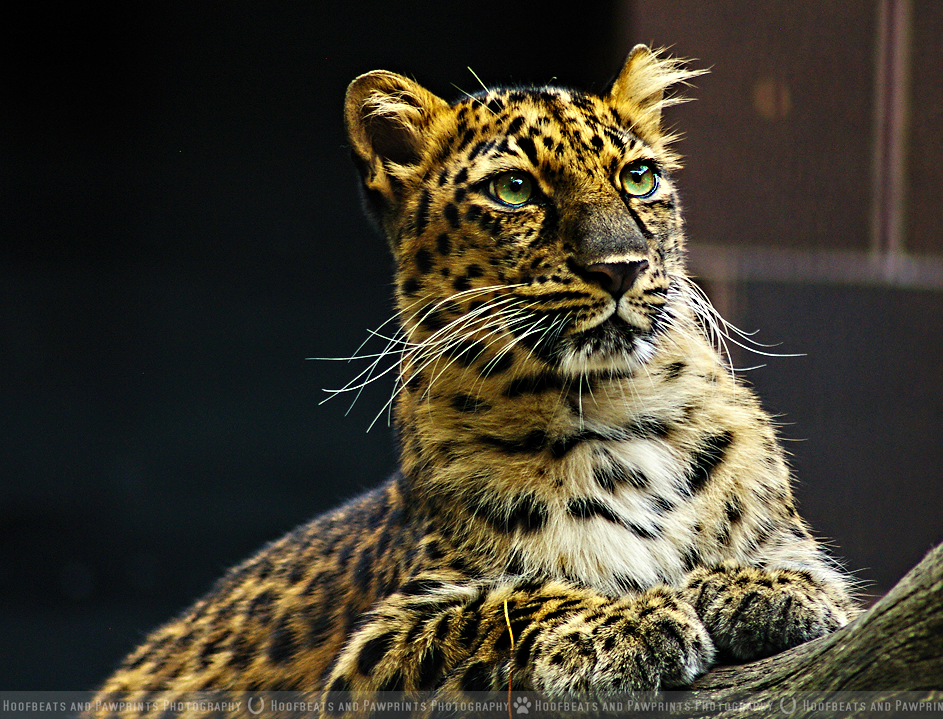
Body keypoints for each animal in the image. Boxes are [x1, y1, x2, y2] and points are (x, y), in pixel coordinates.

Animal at [86, 47, 856, 716]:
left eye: (639, 178)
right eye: (513, 189)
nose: (622, 266)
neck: (615, 407)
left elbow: (807, 574)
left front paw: (764, 584)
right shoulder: (373, 654)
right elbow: (503, 605)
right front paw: (625, 623)